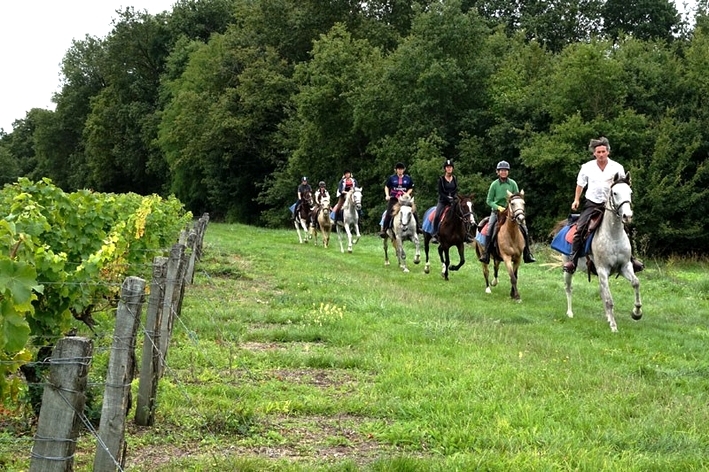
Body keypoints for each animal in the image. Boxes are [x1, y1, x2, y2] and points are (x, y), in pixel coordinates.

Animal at [552, 173, 644, 332]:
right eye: (615, 193)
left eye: (630, 192)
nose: (627, 216)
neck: (613, 235)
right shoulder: (603, 270)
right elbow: (609, 300)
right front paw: (614, 326)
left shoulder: (625, 266)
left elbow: (635, 283)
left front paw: (636, 313)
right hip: (568, 268)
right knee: (568, 288)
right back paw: (570, 313)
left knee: (601, 291)